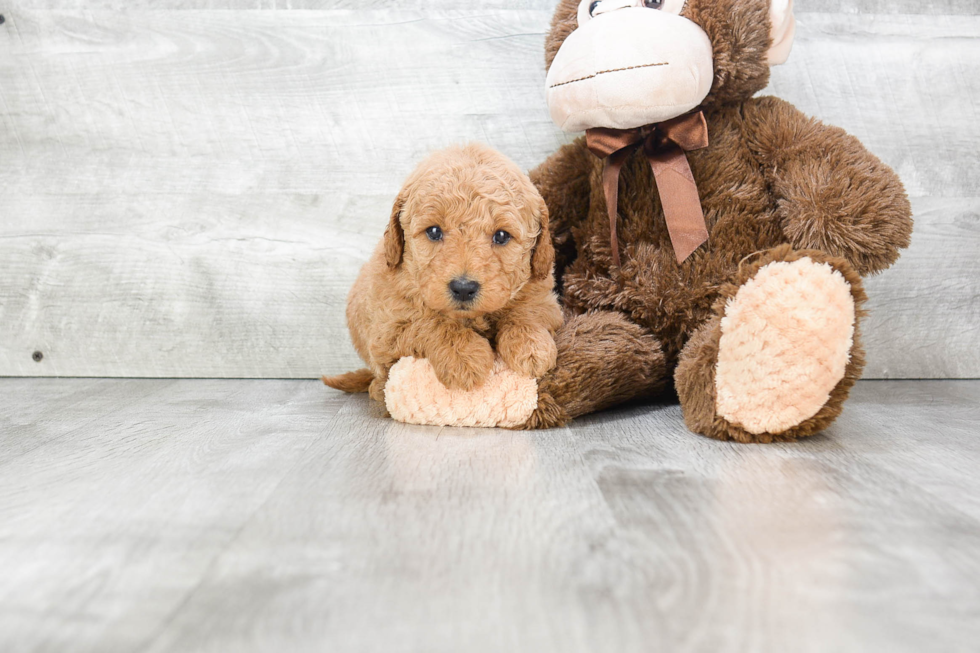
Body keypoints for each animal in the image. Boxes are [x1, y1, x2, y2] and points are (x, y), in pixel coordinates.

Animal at [326, 144, 564, 402]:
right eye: (433, 231)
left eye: (501, 236)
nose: (463, 288)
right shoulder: (387, 329)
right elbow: (430, 323)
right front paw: (464, 357)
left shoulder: (546, 298)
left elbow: (527, 310)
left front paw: (531, 346)